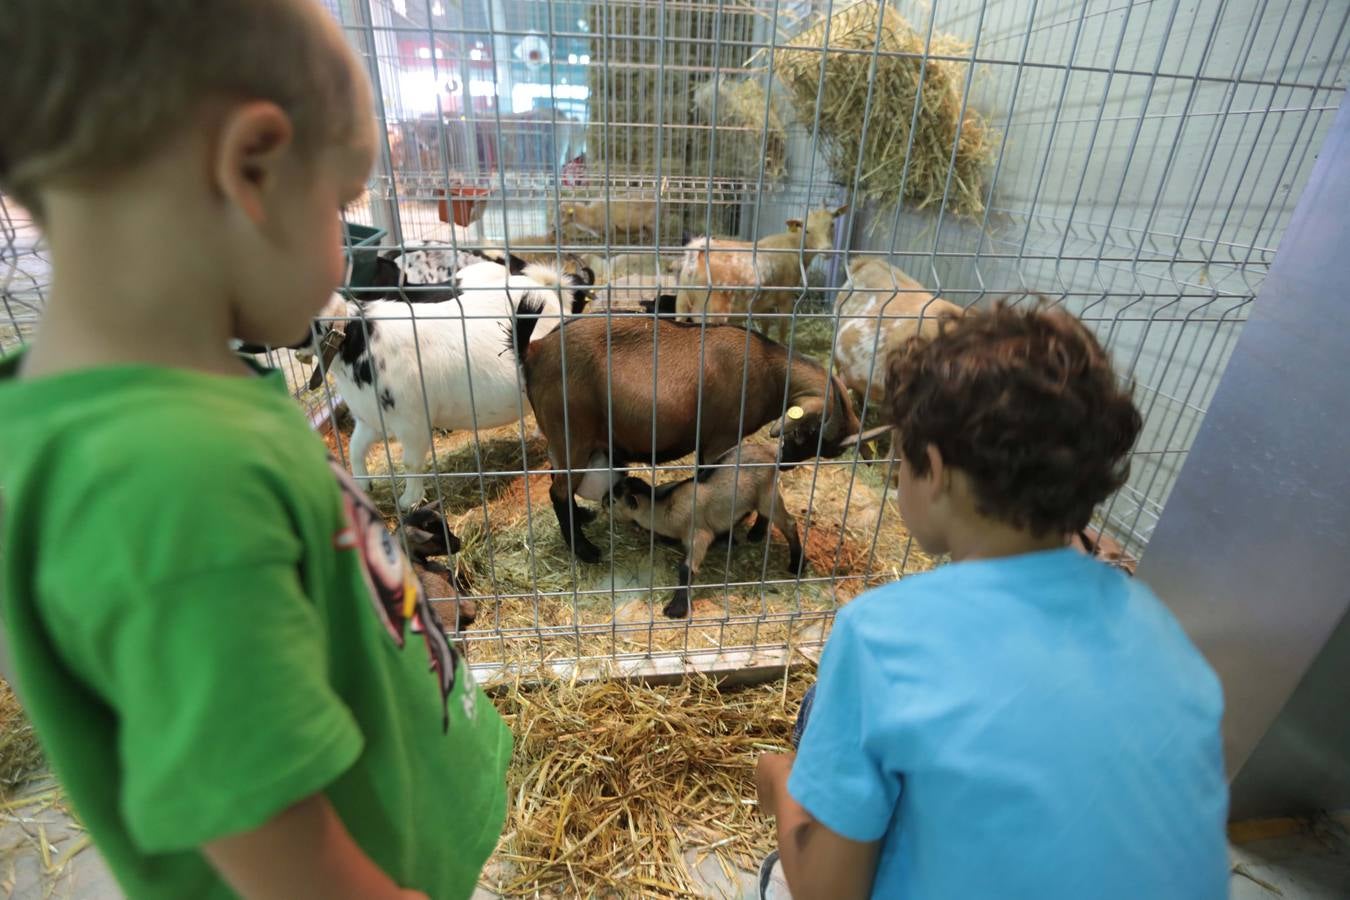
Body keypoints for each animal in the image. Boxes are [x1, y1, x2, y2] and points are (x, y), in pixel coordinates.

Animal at [507, 311, 864, 564]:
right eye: (809, 432)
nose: (786, 464)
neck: (768, 367)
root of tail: (534, 349)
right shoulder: (720, 438)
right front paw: (727, 534)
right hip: (573, 435)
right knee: (558, 491)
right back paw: (585, 550)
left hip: (563, 440)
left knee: (558, 480)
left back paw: (582, 518)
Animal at [604, 442, 799, 620]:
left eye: (613, 500)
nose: (603, 501)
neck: (666, 507)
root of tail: (770, 450)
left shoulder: (699, 534)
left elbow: (686, 569)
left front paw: (676, 609)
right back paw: (756, 534)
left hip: (767, 493)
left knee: (789, 523)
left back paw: (796, 565)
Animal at [675, 206, 842, 342]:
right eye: (807, 230)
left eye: (832, 225)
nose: (827, 251)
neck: (793, 246)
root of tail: (695, 255)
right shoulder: (786, 298)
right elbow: (782, 330)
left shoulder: (765, 303)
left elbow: (765, 325)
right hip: (713, 309)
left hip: (682, 300)